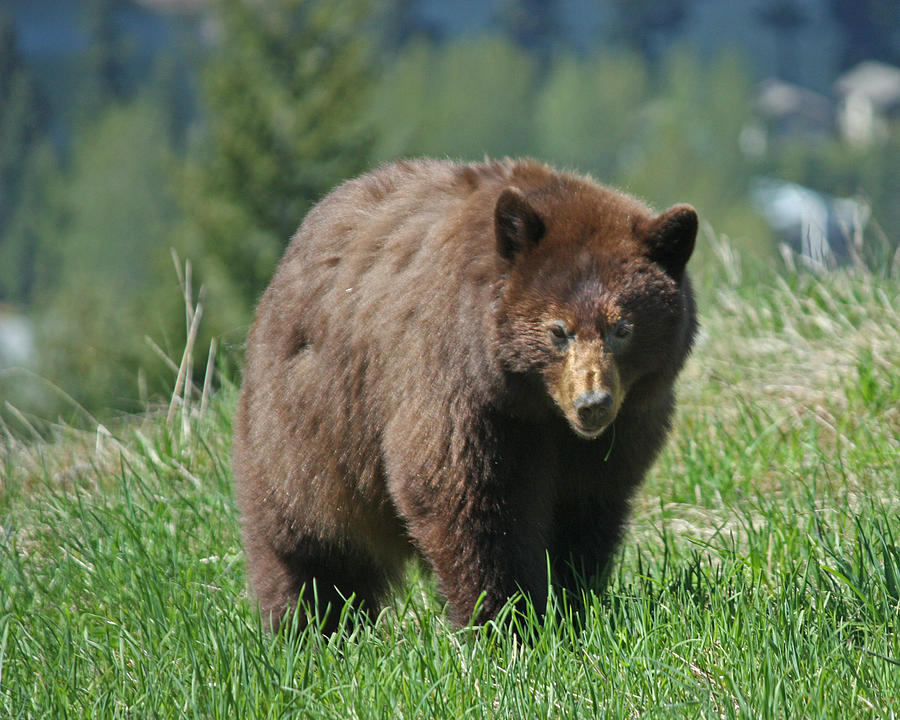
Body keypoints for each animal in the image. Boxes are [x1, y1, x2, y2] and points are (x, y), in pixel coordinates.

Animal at [232, 156, 696, 632]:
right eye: (558, 330)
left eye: (622, 329)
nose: (592, 405)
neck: (536, 406)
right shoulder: (460, 388)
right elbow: (466, 501)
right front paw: (505, 619)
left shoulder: (619, 433)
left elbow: (585, 510)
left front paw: (572, 602)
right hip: (308, 426)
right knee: (305, 541)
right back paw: (308, 625)